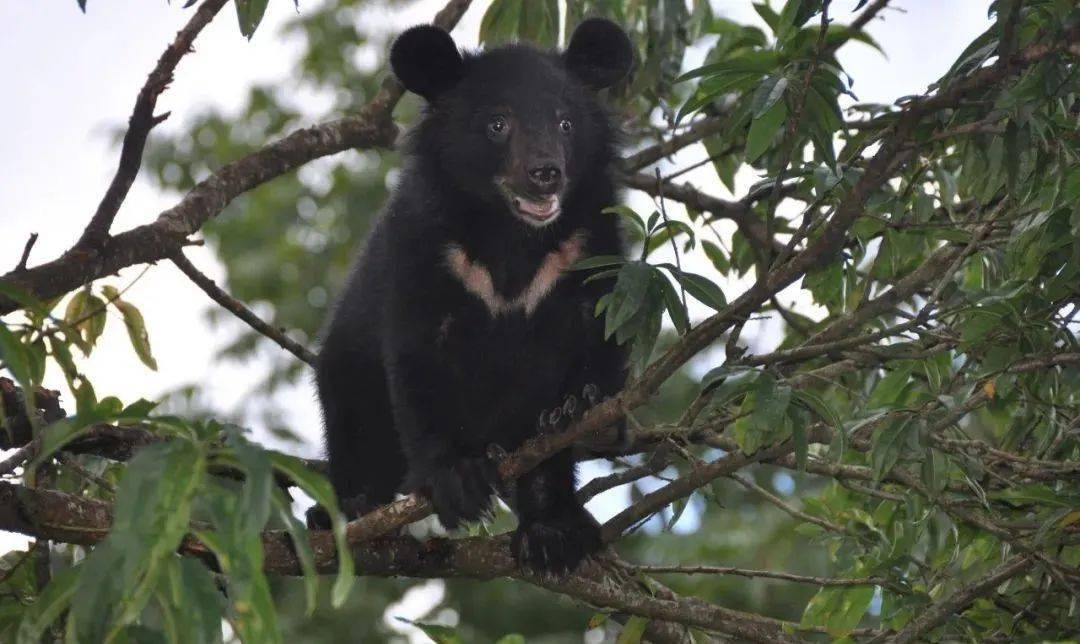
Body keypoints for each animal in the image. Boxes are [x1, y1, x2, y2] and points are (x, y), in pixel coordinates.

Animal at [313, 18, 630, 574]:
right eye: (497, 124)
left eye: (566, 123)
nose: (545, 173)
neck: (513, 236)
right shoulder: (424, 247)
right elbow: (416, 358)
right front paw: (457, 483)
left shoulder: (590, 243)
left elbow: (601, 325)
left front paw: (581, 412)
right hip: (347, 375)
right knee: (354, 408)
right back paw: (354, 507)